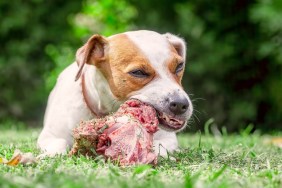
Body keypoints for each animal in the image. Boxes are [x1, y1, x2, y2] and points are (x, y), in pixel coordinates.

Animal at [37, 30, 193, 157]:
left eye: (179, 66)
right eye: (138, 72)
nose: (180, 104)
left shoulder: (168, 138)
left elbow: (157, 145)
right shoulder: (50, 135)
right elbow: (59, 143)